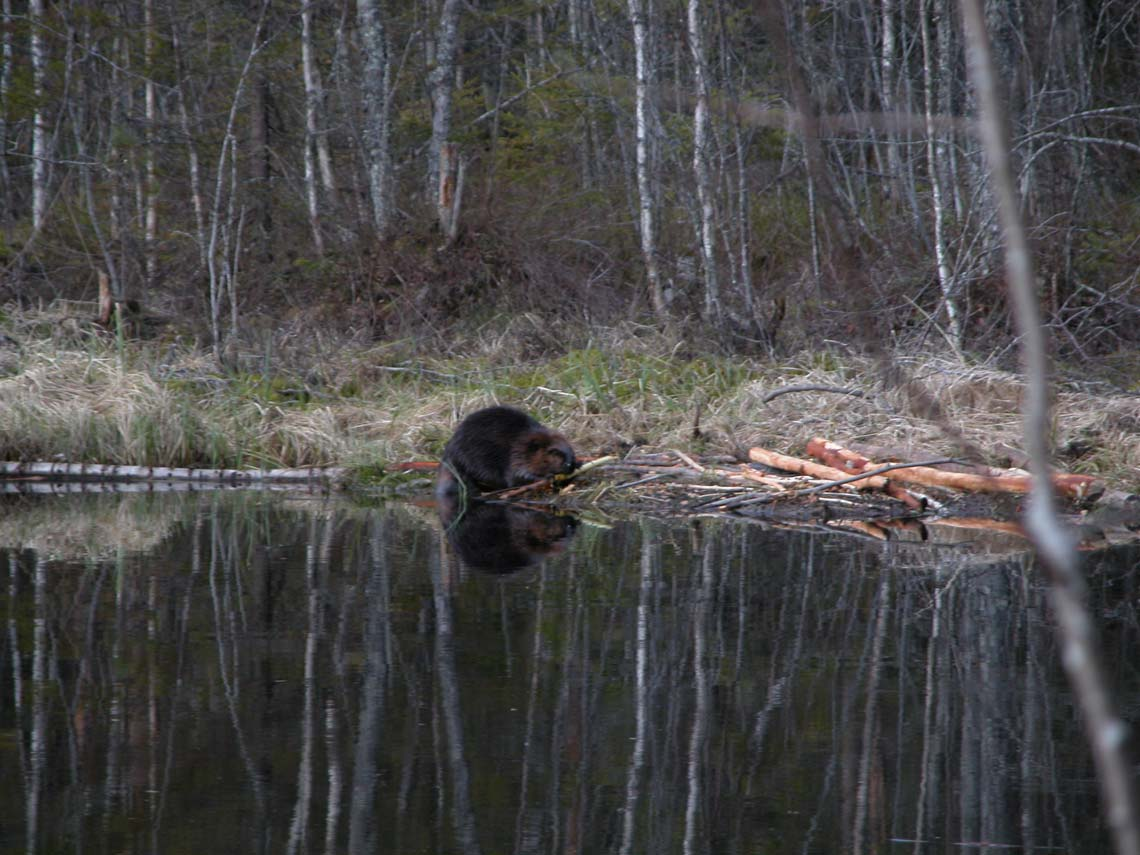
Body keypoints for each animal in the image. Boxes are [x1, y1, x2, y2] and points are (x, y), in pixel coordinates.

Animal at [435, 405, 579, 499]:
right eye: (554, 452)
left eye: (571, 449)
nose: (569, 464)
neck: (523, 442)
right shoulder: (516, 456)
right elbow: (517, 476)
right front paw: (547, 477)